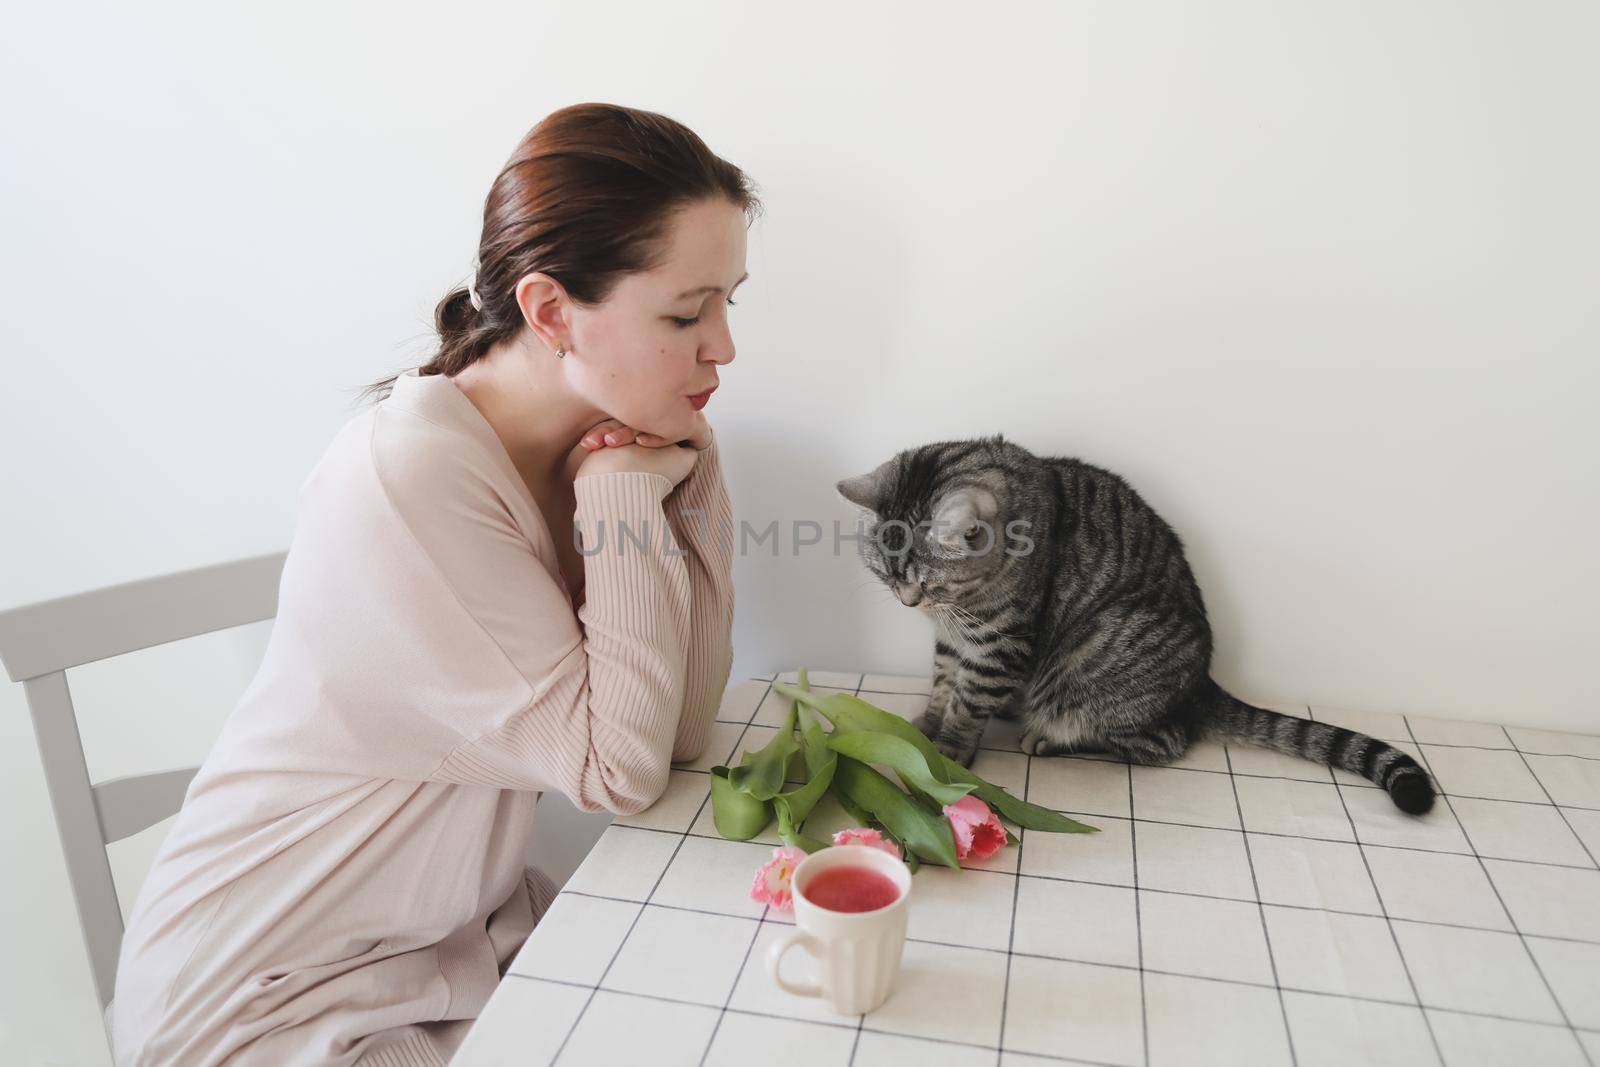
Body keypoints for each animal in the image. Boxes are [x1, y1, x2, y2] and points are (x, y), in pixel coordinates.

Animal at [838, 428, 1440, 812]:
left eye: (927, 583)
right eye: (886, 577)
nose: (909, 603)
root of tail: (1201, 686)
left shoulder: (999, 645)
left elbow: (967, 704)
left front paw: (947, 754)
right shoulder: (954, 640)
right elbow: (944, 683)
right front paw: (927, 723)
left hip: (1090, 661)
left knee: (1157, 743)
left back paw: (1049, 740)